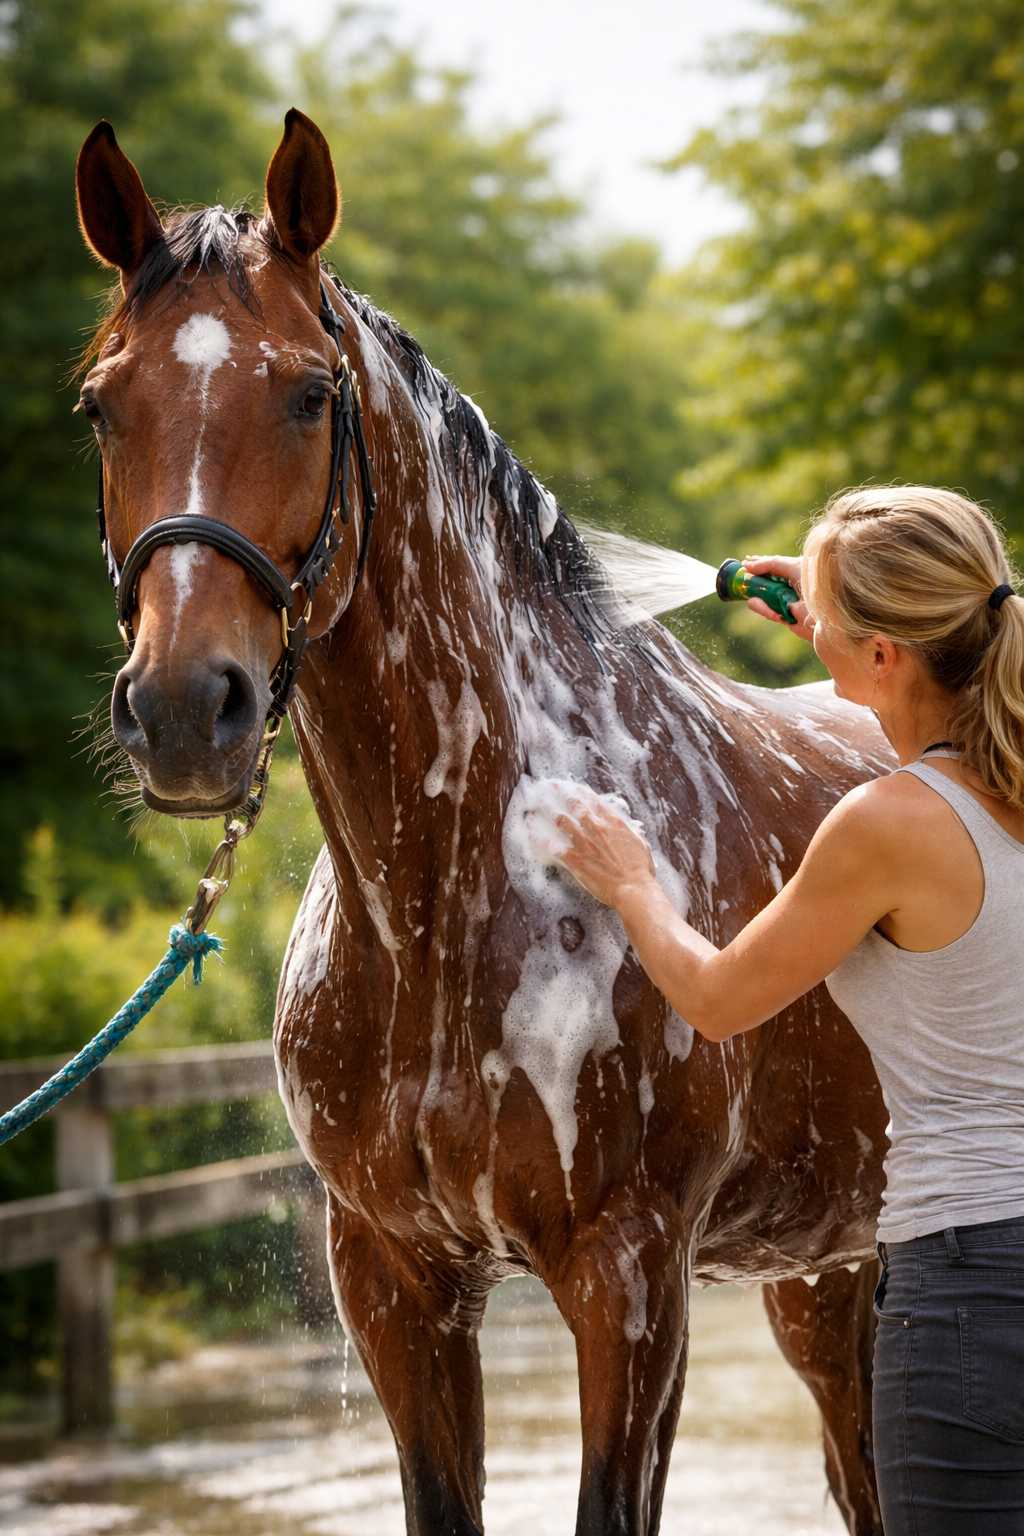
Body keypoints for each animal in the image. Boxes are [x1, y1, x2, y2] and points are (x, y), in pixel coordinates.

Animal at [75, 109, 896, 1535]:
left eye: (310, 392)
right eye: (100, 405)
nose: (184, 709)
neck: (447, 901)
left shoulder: (629, 1281)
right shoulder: (393, 1280)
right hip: (823, 1278)